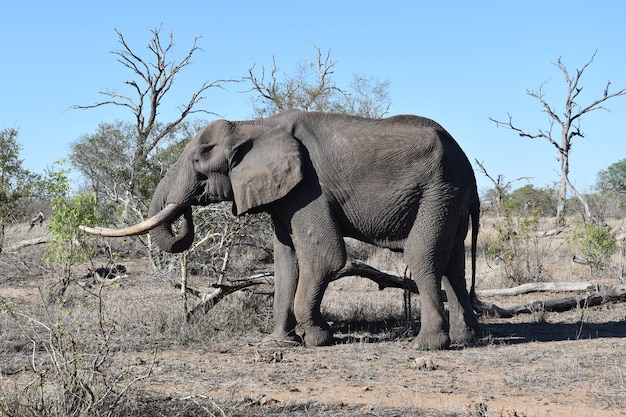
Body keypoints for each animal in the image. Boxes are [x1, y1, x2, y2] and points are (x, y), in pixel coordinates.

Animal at [81, 109, 478, 348]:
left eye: (197, 161)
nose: (189, 208)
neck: (253, 124)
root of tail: (468, 164)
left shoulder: (308, 187)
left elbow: (325, 256)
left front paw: (318, 339)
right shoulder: (284, 193)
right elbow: (286, 262)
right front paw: (279, 343)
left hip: (439, 190)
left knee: (423, 257)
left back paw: (427, 345)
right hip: (450, 198)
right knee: (454, 265)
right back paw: (466, 339)